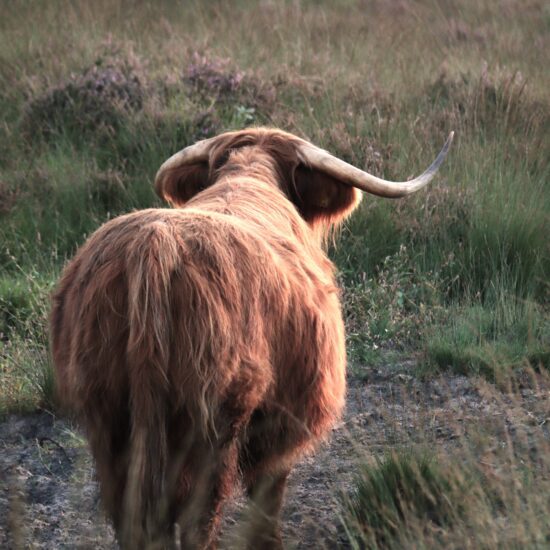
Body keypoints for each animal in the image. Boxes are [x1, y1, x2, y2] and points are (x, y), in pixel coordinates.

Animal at [49, 127, 452, 548]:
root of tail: (155, 247)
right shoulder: (286, 415)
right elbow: (267, 495)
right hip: (211, 422)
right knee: (198, 517)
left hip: (108, 417)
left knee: (131, 517)